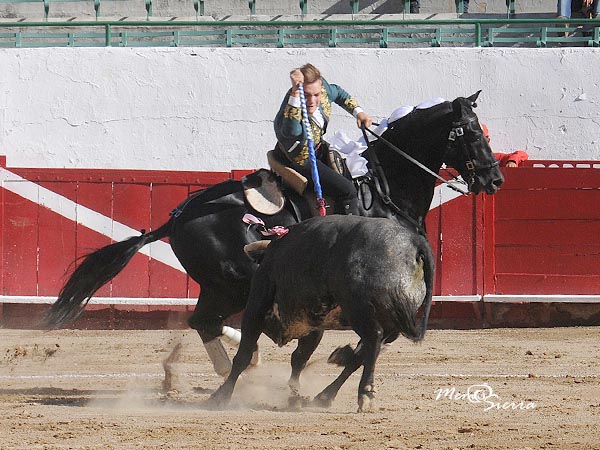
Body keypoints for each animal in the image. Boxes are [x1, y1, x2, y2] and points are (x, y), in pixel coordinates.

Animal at [212, 214, 436, 412]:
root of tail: (415, 243)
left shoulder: (255, 309)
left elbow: (244, 355)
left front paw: (221, 396)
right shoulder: (313, 327)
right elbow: (299, 359)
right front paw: (294, 394)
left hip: (359, 309)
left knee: (373, 338)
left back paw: (364, 393)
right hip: (393, 325)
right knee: (363, 353)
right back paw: (326, 395)